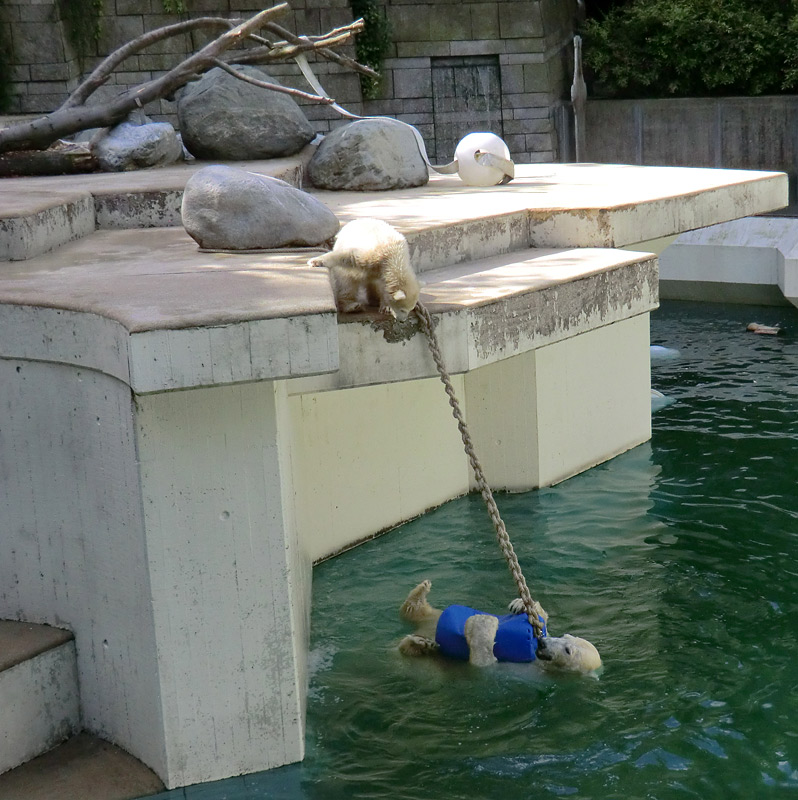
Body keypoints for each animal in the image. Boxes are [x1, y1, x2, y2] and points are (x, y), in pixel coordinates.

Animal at [396, 580, 604, 672]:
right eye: (565, 636)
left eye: (568, 650)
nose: (542, 642)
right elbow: (541, 617)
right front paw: (520, 604)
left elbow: (482, 663)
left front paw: (483, 622)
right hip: (433, 615)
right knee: (414, 611)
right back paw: (422, 589)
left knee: (412, 651)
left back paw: (420, 643)